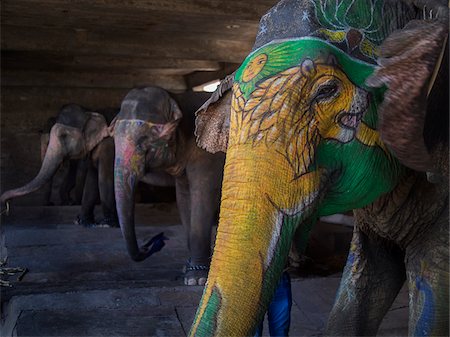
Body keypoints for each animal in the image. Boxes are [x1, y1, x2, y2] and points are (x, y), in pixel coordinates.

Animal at [112, 86, 225, 284]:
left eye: (143, 141)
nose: (147, 246)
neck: (177, 99)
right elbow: (184, 199)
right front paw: (187, 270)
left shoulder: (207, 154)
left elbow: (202, 196)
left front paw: (196, 279)